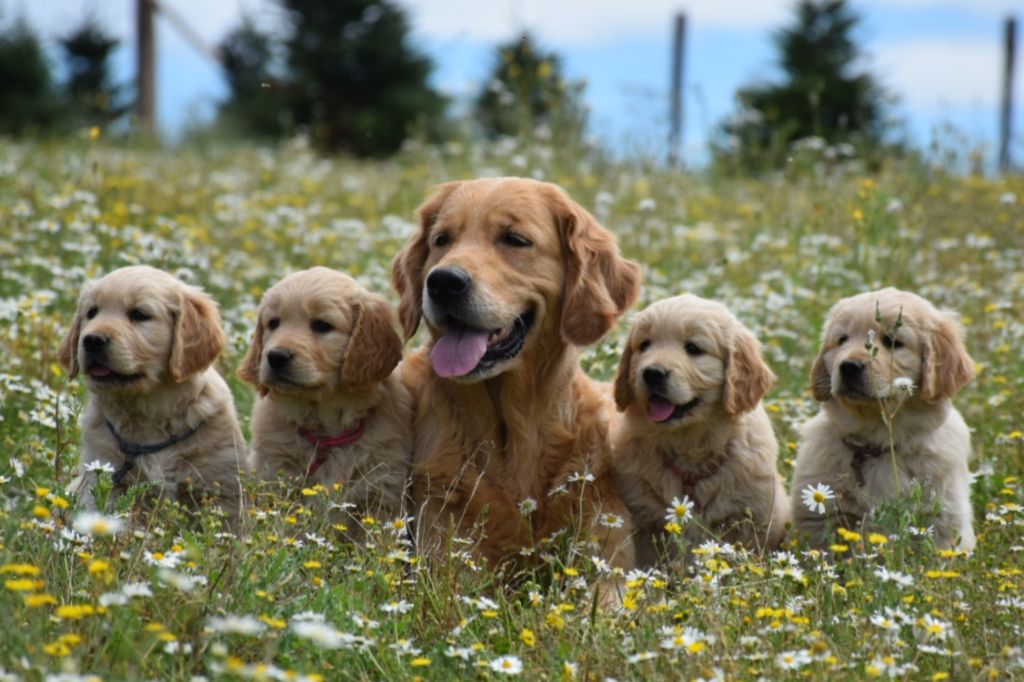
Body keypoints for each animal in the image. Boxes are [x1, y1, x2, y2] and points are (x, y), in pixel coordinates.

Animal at [58, 264, 246, 516]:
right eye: (91, 313)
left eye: (139, 314)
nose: (91, 340)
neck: (149, 409)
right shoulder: (102, 477)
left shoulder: (221, 487)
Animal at [239, 266, 411, 532]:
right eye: (273, 323)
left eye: (322, 325)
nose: (275, 357)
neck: (325, 432)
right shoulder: (275, 476)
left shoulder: (380, 490)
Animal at [610, 292, 786, 561]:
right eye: (644, 345)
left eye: (693, 349)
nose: (652, 373)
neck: (689, 444)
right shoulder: (644, 518)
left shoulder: (749, 519)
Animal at [790, 284, 974, 548]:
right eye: (842, 340)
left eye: (893, 342)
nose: (848, 366)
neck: (879, 441)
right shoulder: (820, 521)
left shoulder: (942, 521)